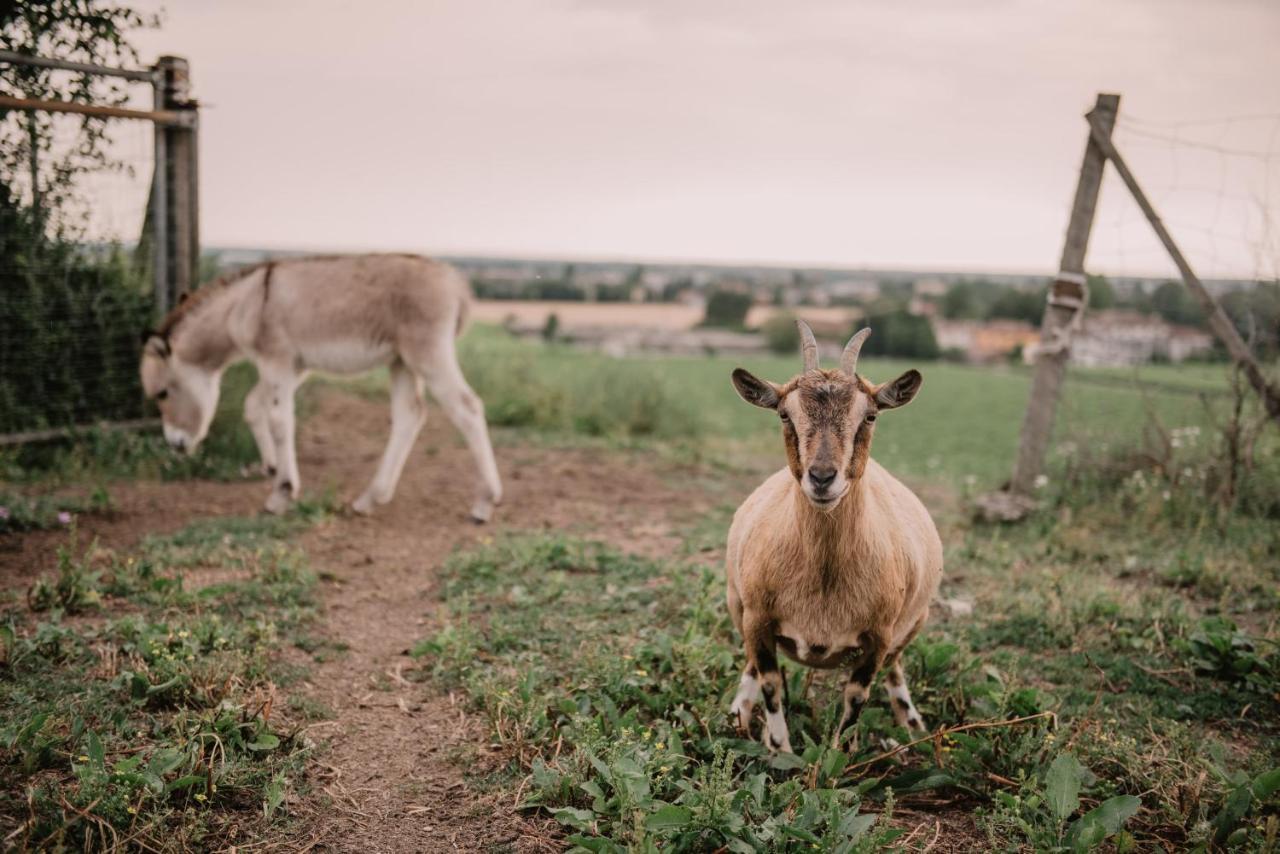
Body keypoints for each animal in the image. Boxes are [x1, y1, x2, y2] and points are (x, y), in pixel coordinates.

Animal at [138, 253, 499, 522]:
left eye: (162, 394)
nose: (175, 445)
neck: (242, 307)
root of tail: (454, 281)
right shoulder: (294, 368)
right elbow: (254, 406)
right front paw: (272, 467)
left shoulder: (276, 361)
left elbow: (280, 421)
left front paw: (282, 493)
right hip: (402, 361)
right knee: (409, 415)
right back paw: (370, 498)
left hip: (427, 353)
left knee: (467, 408)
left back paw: (485, 503)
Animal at [727, 322, 947, 752]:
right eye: (784, 414)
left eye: (871, 415)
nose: (822, 477)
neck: (824, 579)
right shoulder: (757, 620)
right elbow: (771, 684)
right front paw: (779, 749)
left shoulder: (878, 637)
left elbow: (856, 698)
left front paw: (837, 756)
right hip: (737, 605)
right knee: (751, 667)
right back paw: (737, 717)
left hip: (913, 623)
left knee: (895, 668)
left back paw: (913, 725)